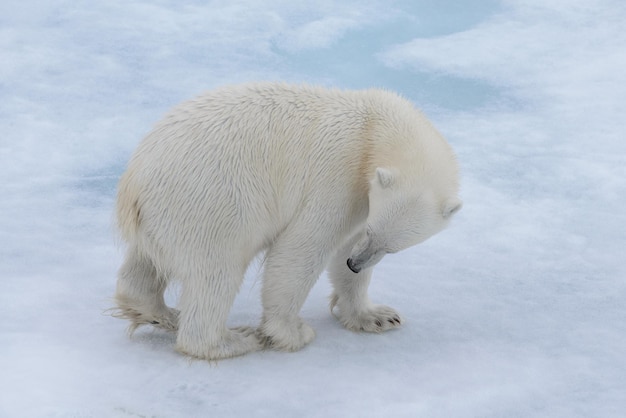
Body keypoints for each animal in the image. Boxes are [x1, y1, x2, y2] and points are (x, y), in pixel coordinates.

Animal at [114, 81, 460, 360]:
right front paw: (291, 332)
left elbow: (342, 247)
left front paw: (377, 316)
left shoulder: (362, 199)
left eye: (391, 248)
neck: (372, 129)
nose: (357, 264)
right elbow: (302, 248)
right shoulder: (337, 177)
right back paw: (234, 339)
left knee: (144, 264)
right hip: (211, 204)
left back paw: (160, 312)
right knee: (216, 272)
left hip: (162, 217)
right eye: (375, 233)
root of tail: (135, 180)